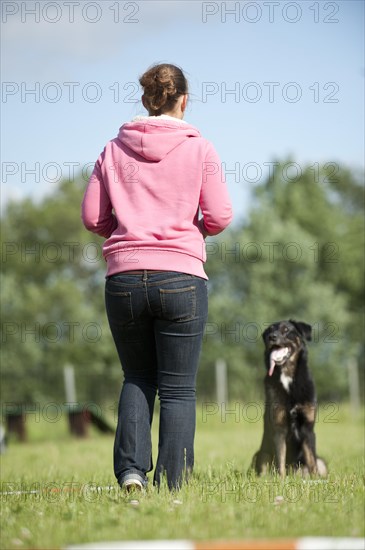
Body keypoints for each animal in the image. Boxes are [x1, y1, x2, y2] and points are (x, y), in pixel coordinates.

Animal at [250, 322, 328, 480]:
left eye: (286, 329)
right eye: (270, 331)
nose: (271, 337)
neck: (287, 375)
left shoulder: (307, 428)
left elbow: (312, 461)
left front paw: (315, 480)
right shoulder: (279, 429)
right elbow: (280, 460)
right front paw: (281, 480)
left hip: (321, 462)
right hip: (261, 454)